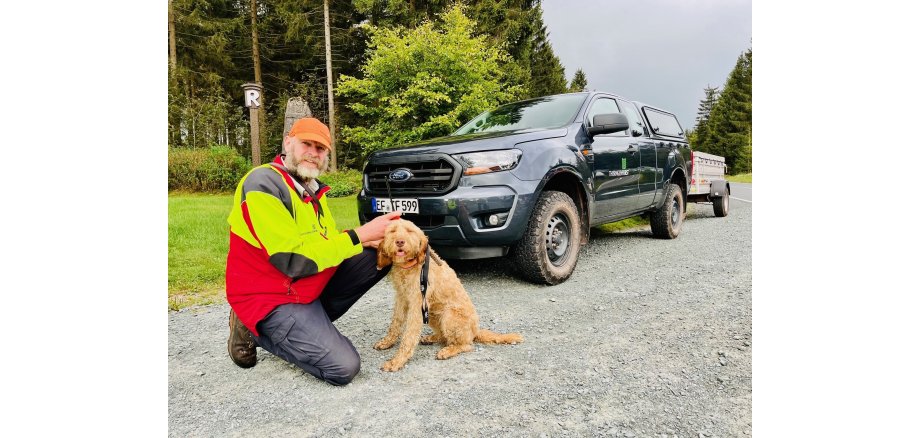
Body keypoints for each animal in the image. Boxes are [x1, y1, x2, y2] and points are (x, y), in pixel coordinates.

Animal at [370, 218, 520, 370]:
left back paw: (449, 350)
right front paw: (387, 342)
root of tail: (475, 331)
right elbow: (395, 323)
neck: (411, 266)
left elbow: (409, 335)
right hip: (431, 314)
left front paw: (398, 360)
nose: (400, 242)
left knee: (466, 345)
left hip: (449, 315)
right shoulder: (402, 298)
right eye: (392, 231)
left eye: (409, 231)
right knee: (444, 336)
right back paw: (431, 338)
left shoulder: (418, 303)